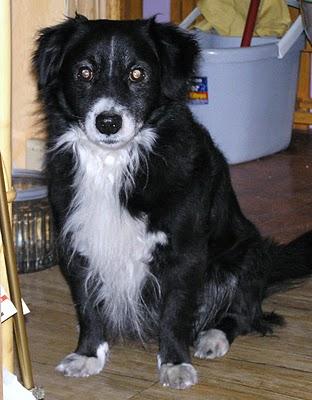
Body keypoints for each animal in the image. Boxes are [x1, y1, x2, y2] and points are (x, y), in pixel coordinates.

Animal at [33, 16, 310, 390]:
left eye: (138, 74)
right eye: (84, 72)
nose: (108, 123)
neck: (116, 163)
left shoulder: (185, 253)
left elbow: (175, 312)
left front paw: (175, 363)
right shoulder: (78, 244)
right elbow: (88, 305)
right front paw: (88, 354)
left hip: (248, 253)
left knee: (243, 313)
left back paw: (213, 337)